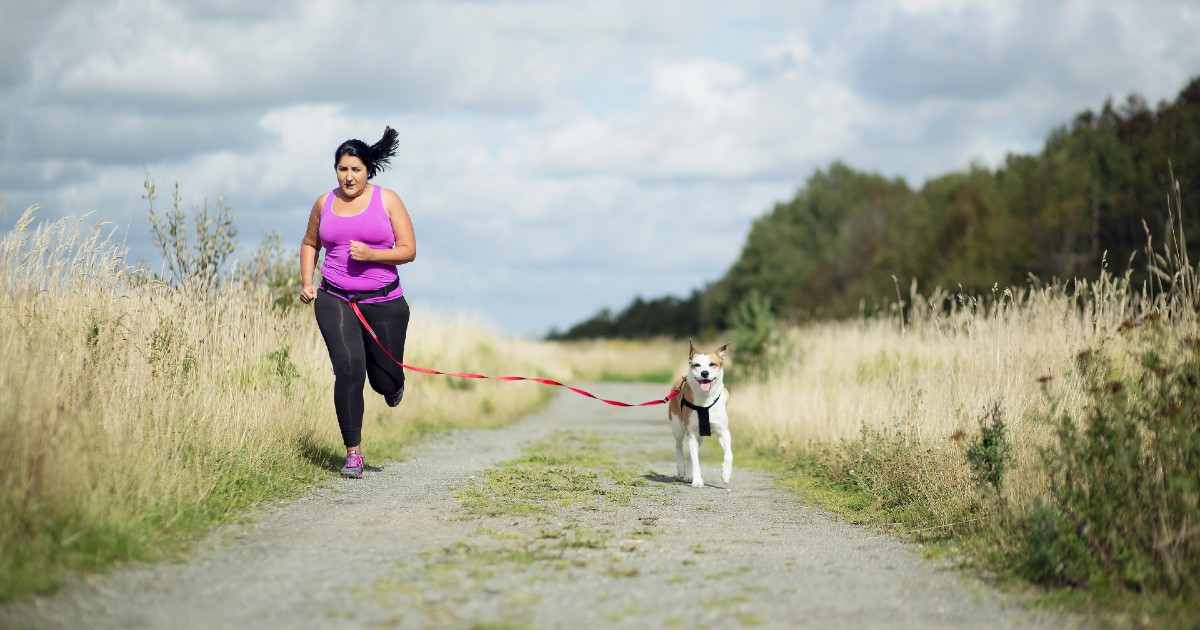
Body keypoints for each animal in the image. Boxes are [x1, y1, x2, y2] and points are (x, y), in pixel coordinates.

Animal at [667, 338, 729, 487]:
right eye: (697, 365)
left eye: (712, 364)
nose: (704, 373)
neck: (705, 400)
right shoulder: (692, 433)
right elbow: (695, 461)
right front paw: (697, 481)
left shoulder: (723, 431)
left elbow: (729, 454)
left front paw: (726, 474)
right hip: (678, 426)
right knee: (679, 445)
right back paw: (682, 470)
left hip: (700, 436)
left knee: (690, 453)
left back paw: (689, 475)